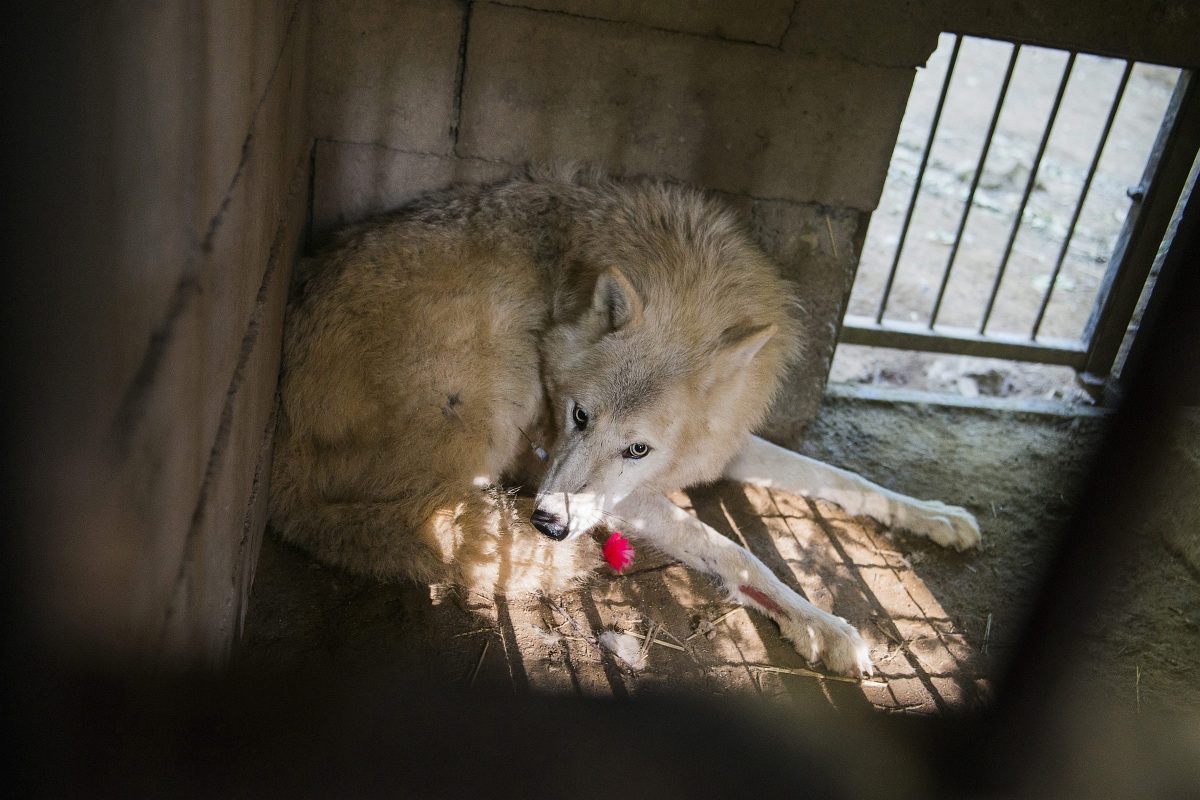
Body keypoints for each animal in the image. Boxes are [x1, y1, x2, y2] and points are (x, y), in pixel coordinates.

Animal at [267, 170, 979, 676]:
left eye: (638, 447)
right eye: (579, 415)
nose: (548, 524)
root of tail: (279, 468)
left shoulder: (717, 446)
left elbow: (842, 479)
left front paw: (935, 516)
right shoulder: (578, 473)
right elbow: (736, 553)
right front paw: (824, 627)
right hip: (495, 391)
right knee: (424, 523)